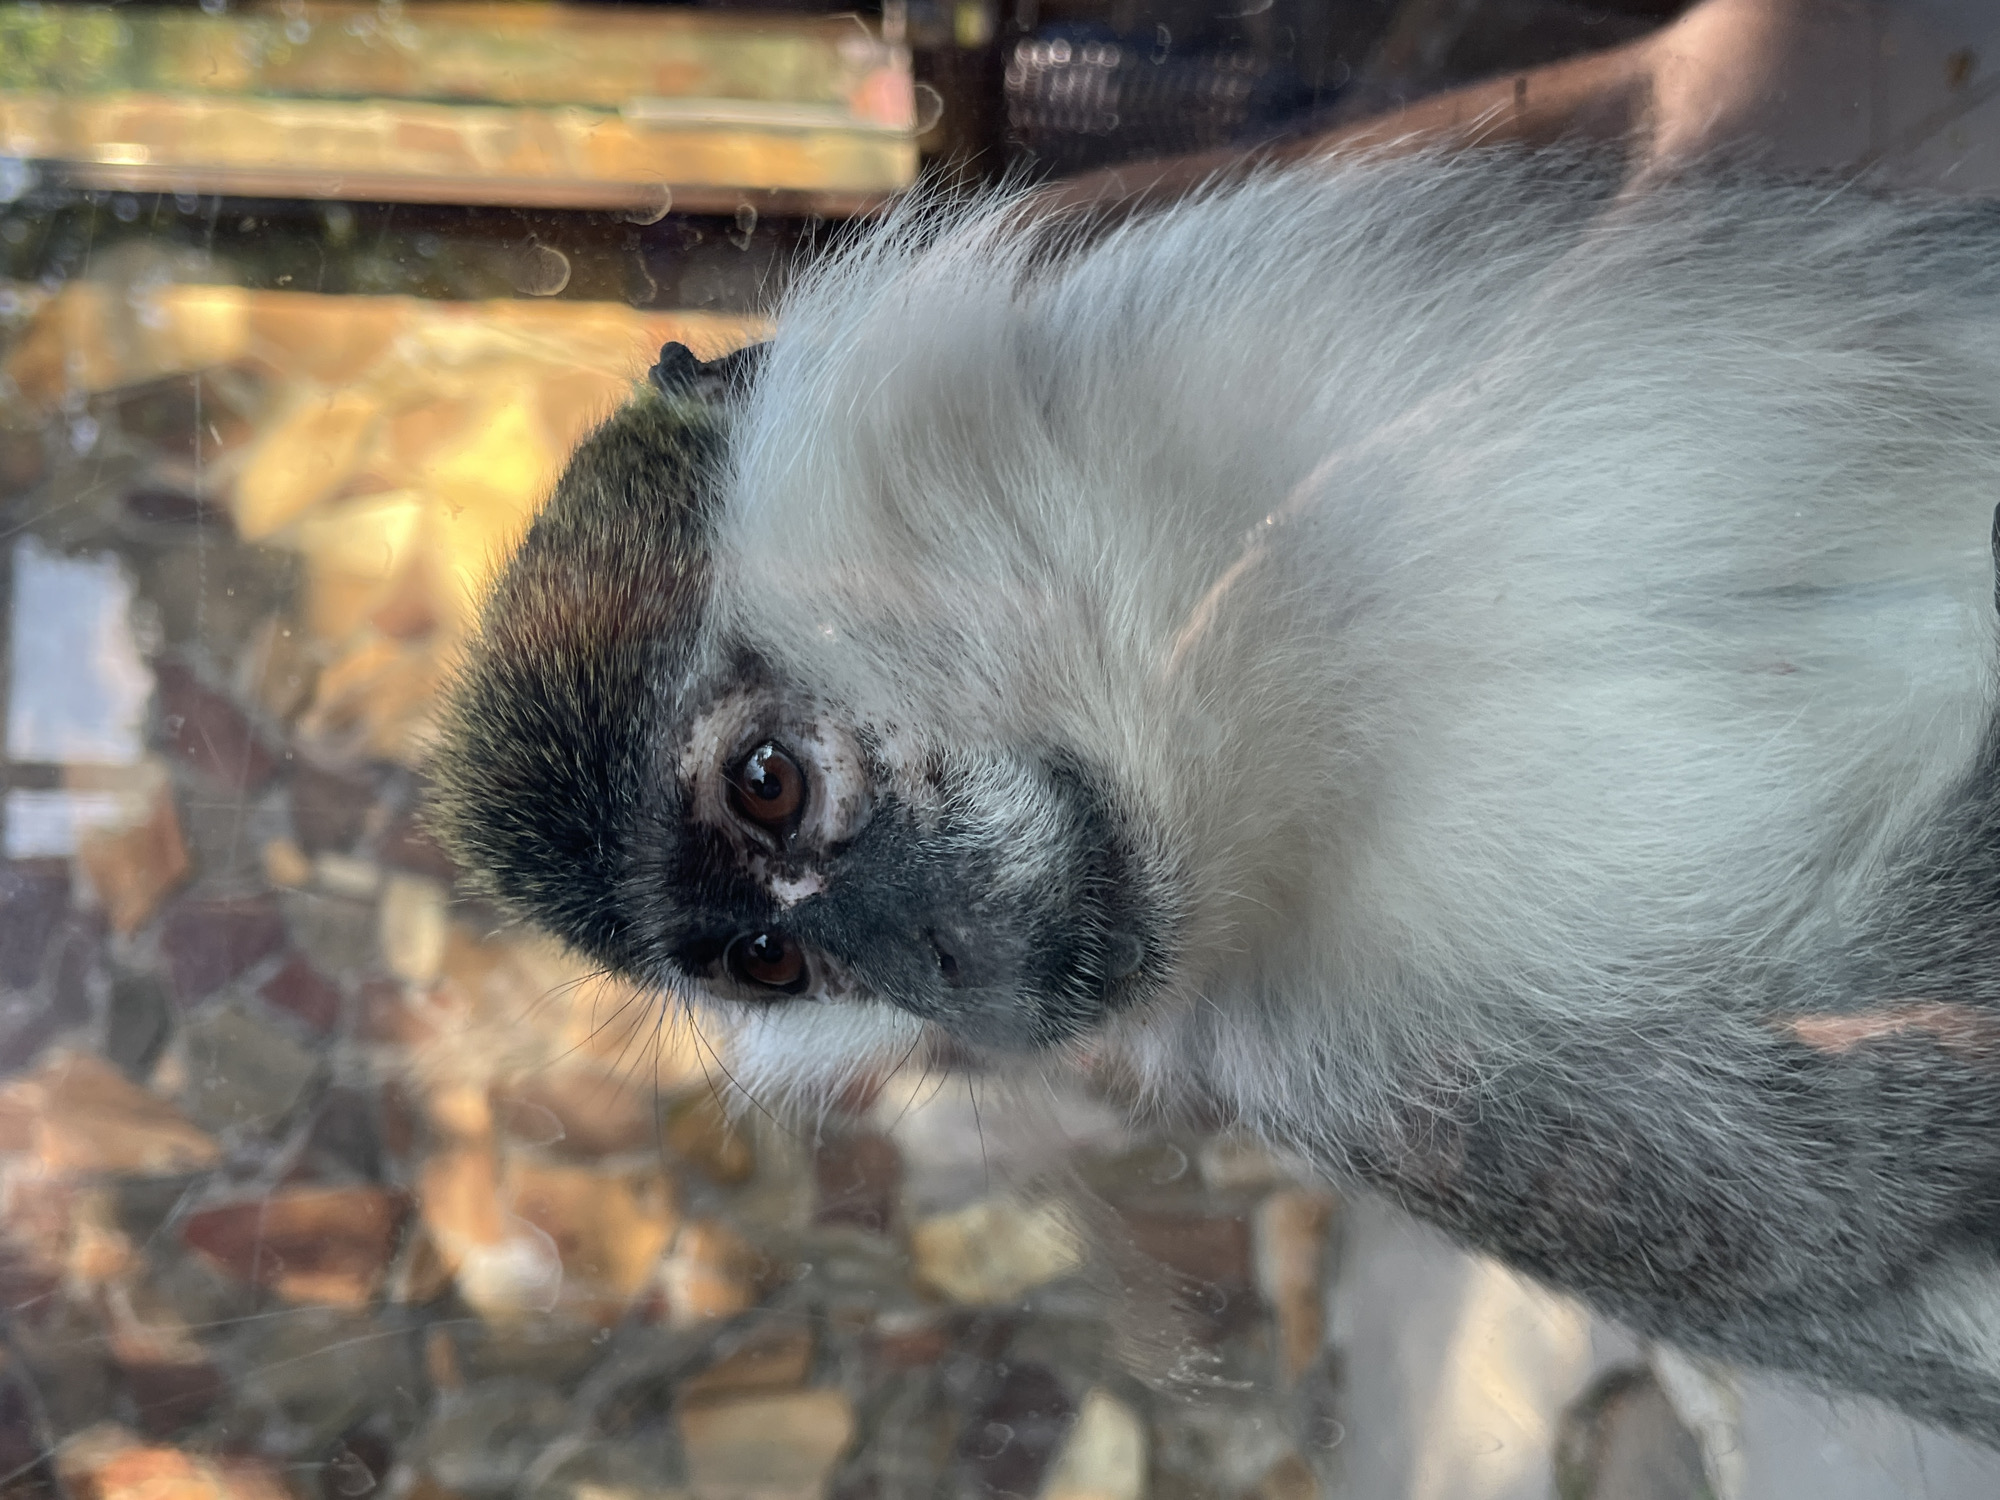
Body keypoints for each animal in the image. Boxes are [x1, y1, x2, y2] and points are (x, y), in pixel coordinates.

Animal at [429, 148, 2000, 1442]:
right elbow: (1820, 1185)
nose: (949, 977)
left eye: (766, 788)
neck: (1280, 682)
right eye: (771, 961)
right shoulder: (1354, 1070)